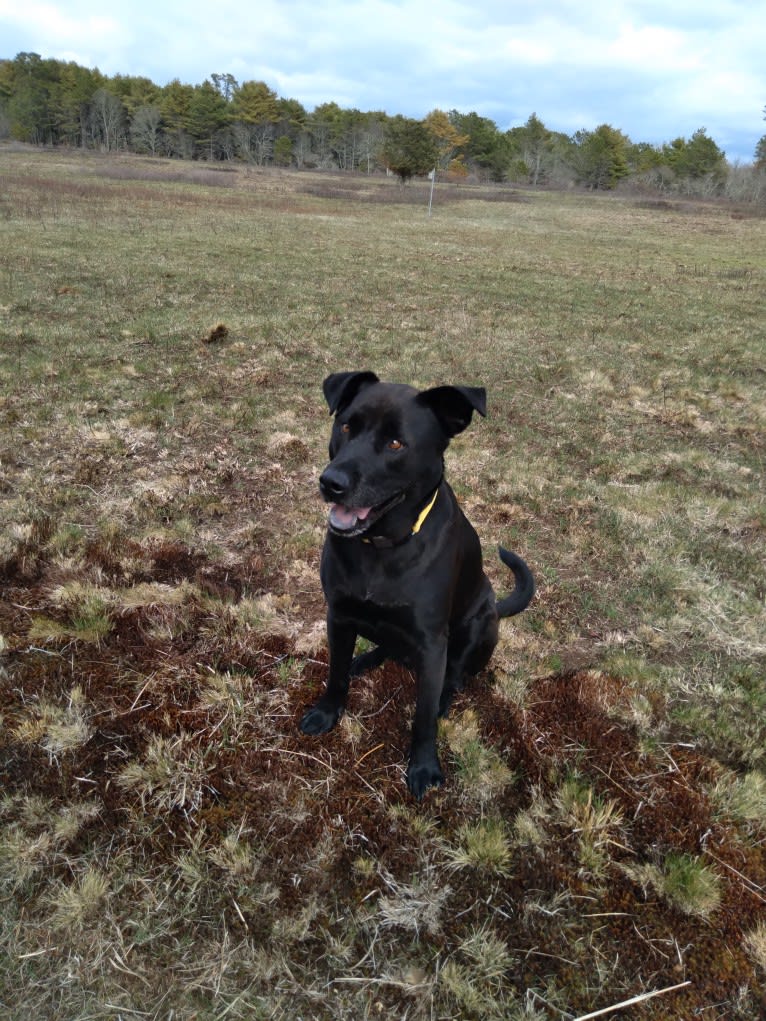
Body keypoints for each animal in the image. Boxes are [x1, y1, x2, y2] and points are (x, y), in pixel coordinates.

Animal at [300, 371, 535, 800]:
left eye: (396, 443)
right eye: (346, 426)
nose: (331, 482)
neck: (382, 546)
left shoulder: (431, 643)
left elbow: (423, 717)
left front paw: (424, 766)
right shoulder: (338, 616)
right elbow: (336, 672)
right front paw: (327, 712)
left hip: (478, 625)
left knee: (456, 676)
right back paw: (366, 660)